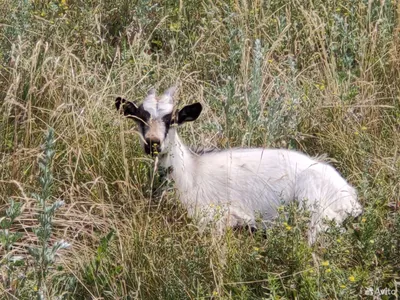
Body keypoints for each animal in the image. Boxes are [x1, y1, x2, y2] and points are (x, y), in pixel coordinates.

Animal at [115, 86, 362, 244]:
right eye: (139, 117)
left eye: (172, 119)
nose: (153, 143)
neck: (191, 172)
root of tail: (350, 196)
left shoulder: (216, 218)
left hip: (314, 211)